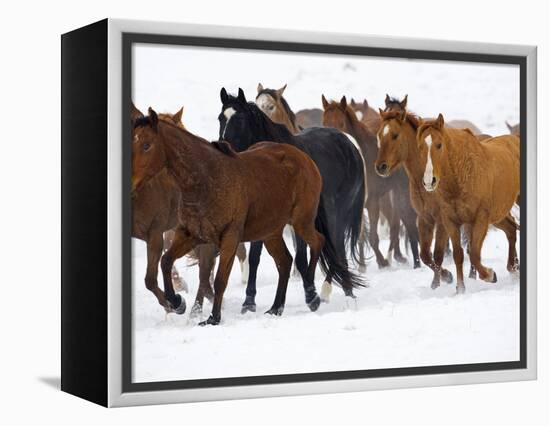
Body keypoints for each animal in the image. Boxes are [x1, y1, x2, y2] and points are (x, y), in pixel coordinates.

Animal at [132, 108, 326, 324]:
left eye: (147, 145)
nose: (131, 181)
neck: (207, 179)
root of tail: (304, 158)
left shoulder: (229, 237)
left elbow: (219, 280)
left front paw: (212, 318)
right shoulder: (189, 235)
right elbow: (166, 261)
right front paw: (176, 302)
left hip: (301, 221)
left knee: (318, 242)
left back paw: (312, 295)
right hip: (270, 232)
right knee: (284, 262)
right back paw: (276, 308)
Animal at [219, 87, 366, 312]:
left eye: (240, 119)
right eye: (221, 118)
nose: (223, 146)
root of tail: (350, 146)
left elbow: (301, 257)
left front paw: (310, 295)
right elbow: (255, 258)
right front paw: (249, 302)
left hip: (337, 215)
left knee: (337, 248)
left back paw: (334, 292)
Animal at [324, 96, 422, 270]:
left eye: (341, 123)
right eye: (324, 122)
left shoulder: (373, 201)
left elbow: (372, 235)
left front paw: (382, 261)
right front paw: (362, 265)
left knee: (397, 222)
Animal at [418, 113, 520, 292]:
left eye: (439, 145)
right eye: (421, 147)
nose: (429, 181)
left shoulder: (480, 219)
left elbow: (473, 253)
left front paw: (490, 275)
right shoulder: (451, 221)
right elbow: (458, 254)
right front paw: (460, 288)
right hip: (498, 214)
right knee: (511, 230)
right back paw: (513, 269)